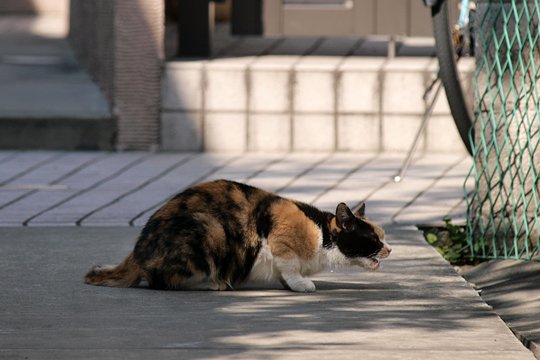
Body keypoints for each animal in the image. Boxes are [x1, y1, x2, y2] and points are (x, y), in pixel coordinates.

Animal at [84, 179, 390, 292]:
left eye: (384, 237)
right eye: (374, 239)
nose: (390, 249)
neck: (322, 235)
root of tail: (137, 253)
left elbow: (284, 273)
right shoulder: (281, 238)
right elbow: (290, 266)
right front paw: (301, 284)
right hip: (208, 228)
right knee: (162, 281)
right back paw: (214, 283)